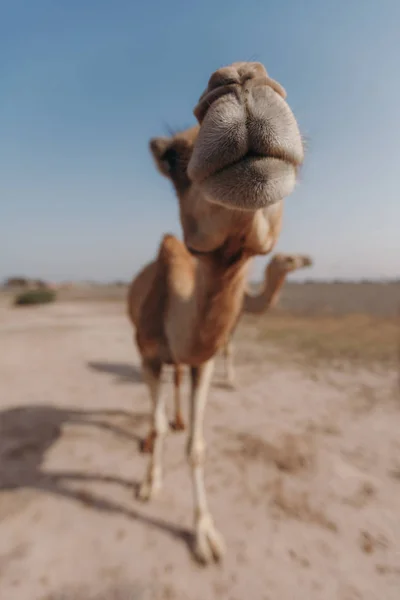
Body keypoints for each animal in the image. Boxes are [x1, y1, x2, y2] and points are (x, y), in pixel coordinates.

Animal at [131, 61, 304, 564]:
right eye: (171, 158)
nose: (242, 77)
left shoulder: (202, 360)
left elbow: (197, 446)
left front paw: (205, 534)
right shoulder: (149, 355)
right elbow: (157, 427)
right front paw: (149, 483)